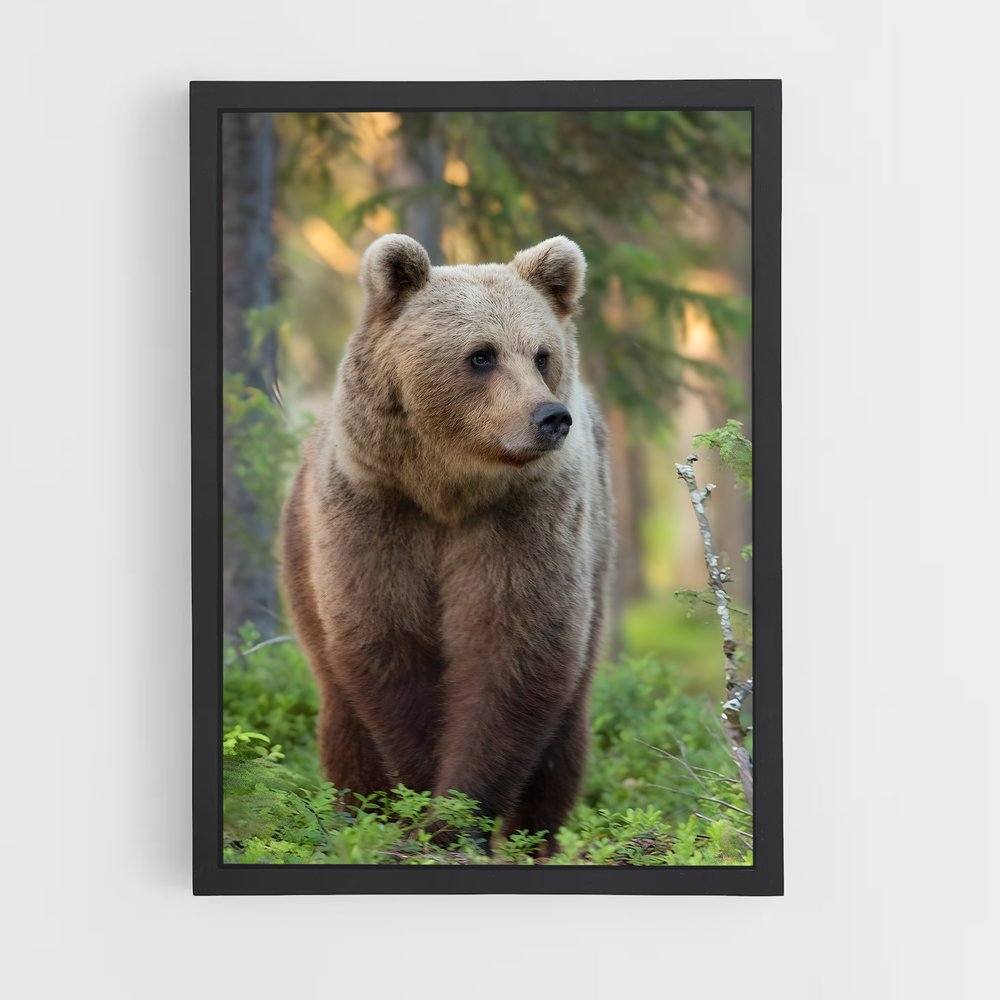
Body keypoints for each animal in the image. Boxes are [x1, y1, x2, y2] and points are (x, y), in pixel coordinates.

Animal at [280, 233, 614, 850]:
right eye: (481, 355)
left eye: (541, 354)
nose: (550, 417)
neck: (447, 492)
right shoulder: (375, 512)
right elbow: (388, 643)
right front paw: (419, 797)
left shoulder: (524, 520)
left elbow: (511, 650)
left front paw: (457, 816)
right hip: (300, 564)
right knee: (343, 721)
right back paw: (358, 813)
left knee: (564, 737)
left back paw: (537, 840)